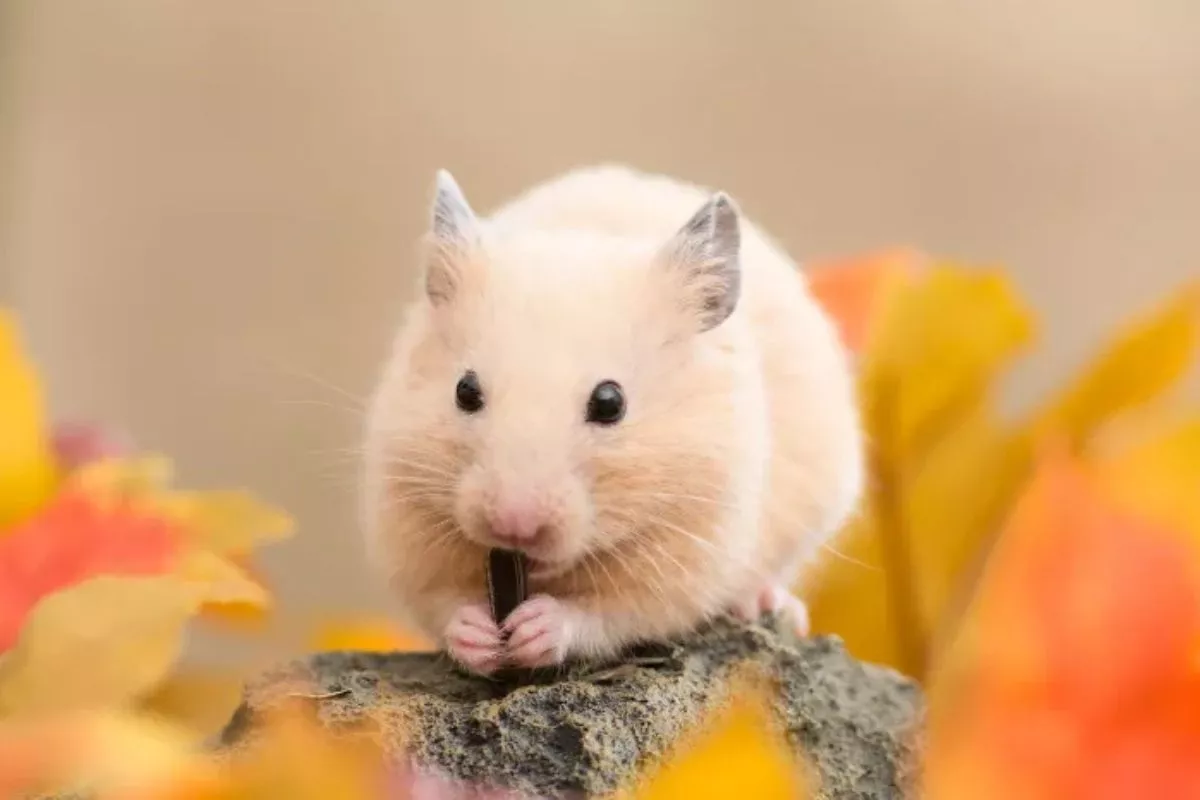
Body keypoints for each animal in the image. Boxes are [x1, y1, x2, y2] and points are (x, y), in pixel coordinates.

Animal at [362, 165, 863, 675]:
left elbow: (605, 615)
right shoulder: (405, 528)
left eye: (609, 403)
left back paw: (762, 602)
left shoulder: (688, 557)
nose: (513, 529)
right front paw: (478, 635)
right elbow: (444, 603)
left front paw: (536, 628)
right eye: (465, 392)